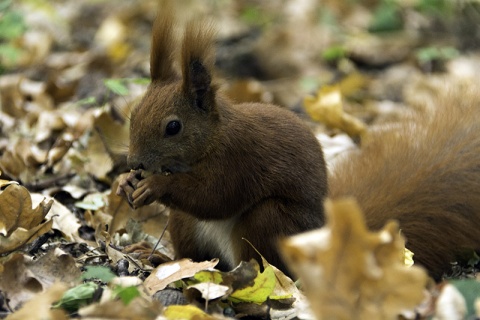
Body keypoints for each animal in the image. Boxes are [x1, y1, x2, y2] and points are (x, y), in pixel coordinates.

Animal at [118, 8, 480, 280]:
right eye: (133, 114)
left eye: (173, 127)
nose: (135, 162)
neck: (211, 140)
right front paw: (125, 183)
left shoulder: (239, 159)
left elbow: (215, 197)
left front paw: (155, 186)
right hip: (186, 225)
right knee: (194, 253)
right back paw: (161, 260)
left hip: (270, 222)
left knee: (261, 265)